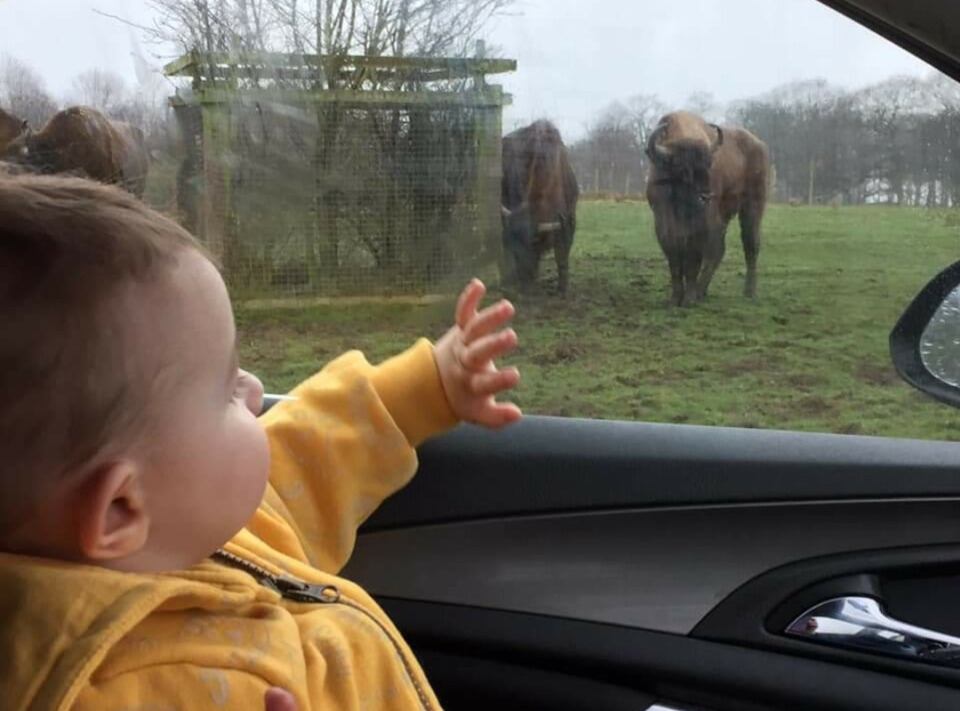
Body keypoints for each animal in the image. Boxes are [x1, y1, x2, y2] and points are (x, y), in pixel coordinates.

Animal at [502, 119, 576, 294]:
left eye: (533, 243)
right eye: (513, 246)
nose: (523, 278)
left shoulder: (568, 221)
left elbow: (562, 256)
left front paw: (563, 288)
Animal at [644, 111, 772, 306]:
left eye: (708, 165)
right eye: (683, 170)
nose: (706, 196)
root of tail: (759, 145)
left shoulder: (702, 225)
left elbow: (692, 259)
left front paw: (688, 299)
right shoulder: (662, 220)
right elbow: (674, 258)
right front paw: (675, 298)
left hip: (752, 207)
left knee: (750, 244)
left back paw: (748, 292)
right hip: (725, 217)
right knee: (720, 250)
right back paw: (702, 291)